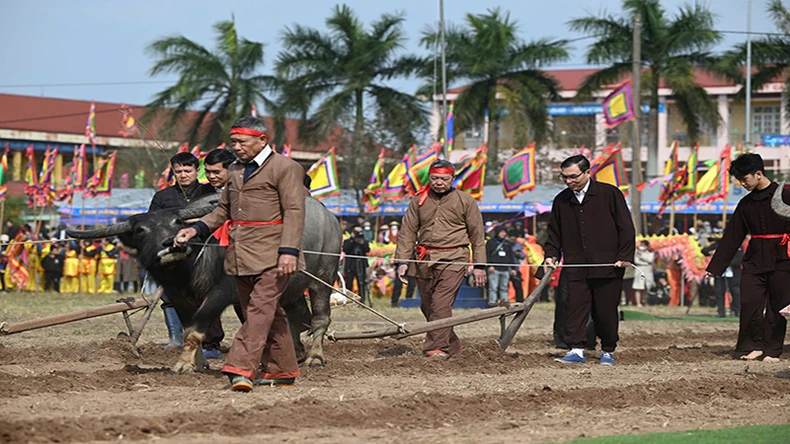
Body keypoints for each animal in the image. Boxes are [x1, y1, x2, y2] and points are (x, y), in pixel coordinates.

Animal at [67, 196, 340, 372]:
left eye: (177, 222)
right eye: (140, 230)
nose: (170, 244)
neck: (187, 270)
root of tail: (329, 216)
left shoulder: (220, 293)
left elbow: (198, 326)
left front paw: (182, 364)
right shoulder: (178, 297)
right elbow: (187, 327)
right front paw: (198, 363)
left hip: (324, 277)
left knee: (319, 318)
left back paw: (315, 357)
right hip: (289, 287)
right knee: (292, 316)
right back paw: (293, 354)